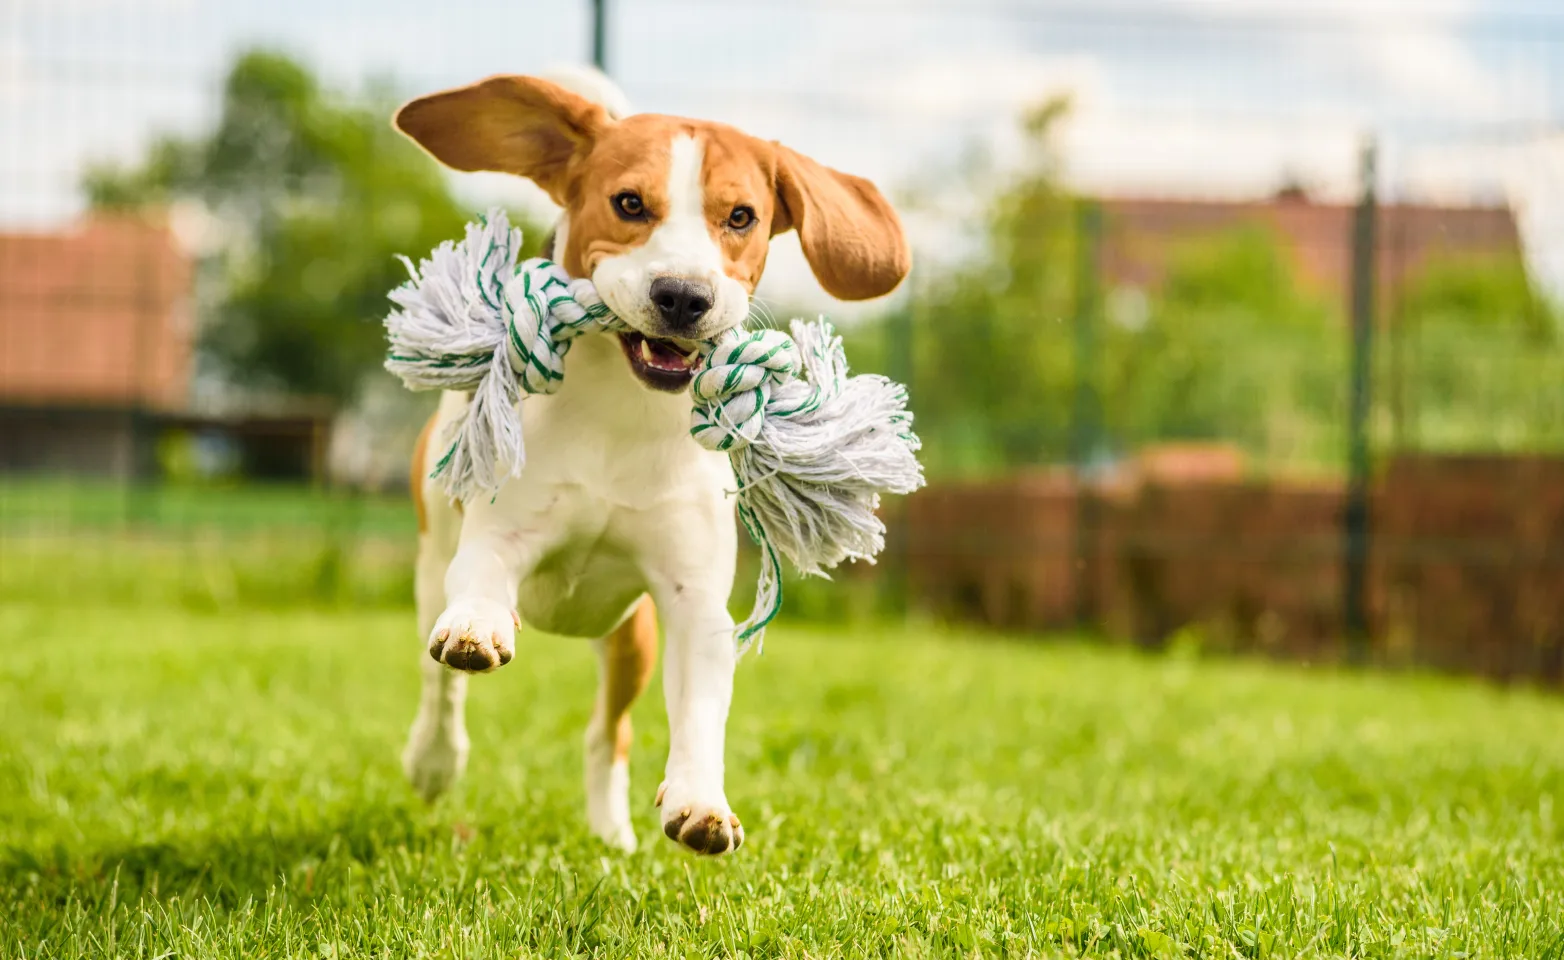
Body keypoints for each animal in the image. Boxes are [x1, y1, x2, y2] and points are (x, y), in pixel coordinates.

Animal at [397, 73, 913, 856]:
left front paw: (701, 802)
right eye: (630, 204)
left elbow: (699, 709)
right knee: (441, 686)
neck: (624, 415)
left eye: (741, 216)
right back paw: (434, 756)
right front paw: (478, 630)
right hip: (432, 563)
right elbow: (478, 593)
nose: (683, 296)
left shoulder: (691, 599)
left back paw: (611, 832)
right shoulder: (497, 539)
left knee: (607, 733)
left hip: (630, 638)